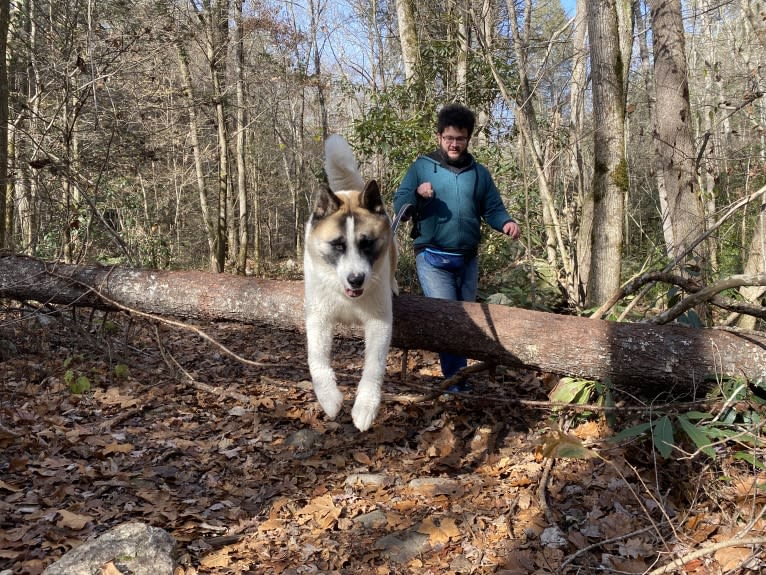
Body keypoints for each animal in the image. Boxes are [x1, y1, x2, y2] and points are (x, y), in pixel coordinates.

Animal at [304, 135, 400, 432]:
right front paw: (330, 398)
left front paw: (365, 407)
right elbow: (316, 358)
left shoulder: (380, 323)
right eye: (337, 245)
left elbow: (374, 366)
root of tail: (349, 191)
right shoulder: (318, 317)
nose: (356, 279)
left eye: (366, 243)